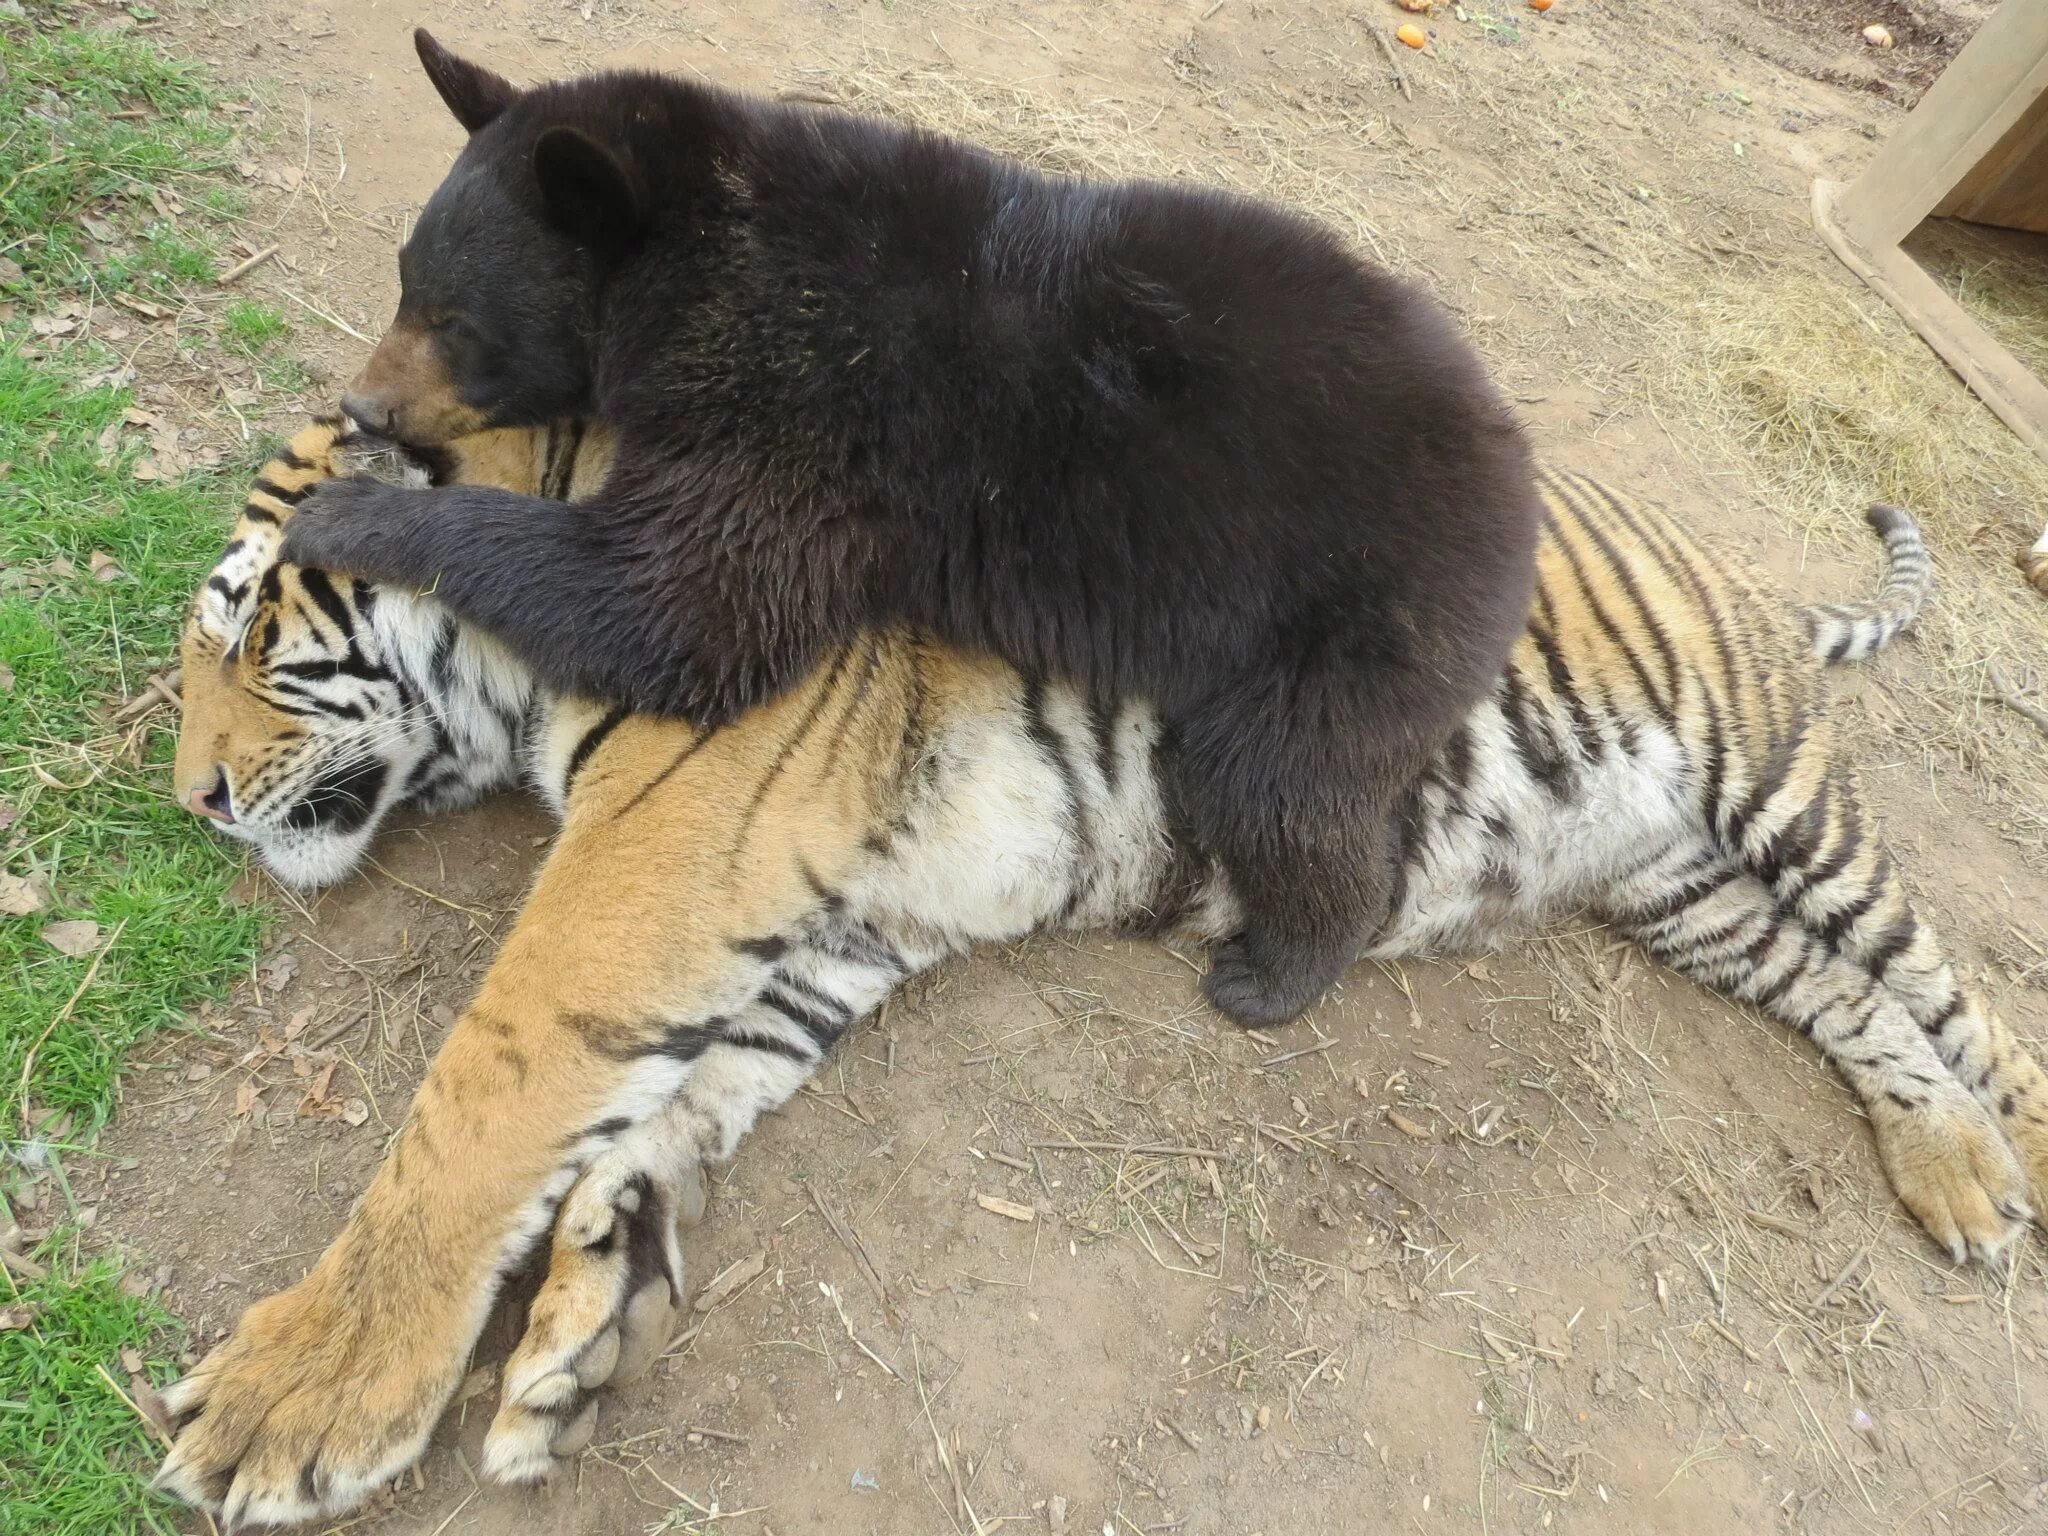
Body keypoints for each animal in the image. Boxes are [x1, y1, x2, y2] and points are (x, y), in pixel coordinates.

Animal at [155, 415, 2048, 1531]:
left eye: (244, 628)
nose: (191, 800)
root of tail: (1734, 572)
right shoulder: (838, 909)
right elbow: (670, 1097)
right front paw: (587, 1317)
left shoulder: (669, 843)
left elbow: (490, 1098)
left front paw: (293, 1399)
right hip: (1675, 885)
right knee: (1848, 1000)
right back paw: (1949, 1175)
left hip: (1778, 801)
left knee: (1956, 996)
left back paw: (2007, 1149)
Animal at [284, 30, 1540, 1028]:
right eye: (403, 280)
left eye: (455, 320)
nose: (363, 405)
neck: (699, 253)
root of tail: (1513, 479)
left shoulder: (798, 401)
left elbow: (677, 607)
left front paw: (350, 511)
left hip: (1351, 617)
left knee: (1287, 787)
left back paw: (1276, 969)